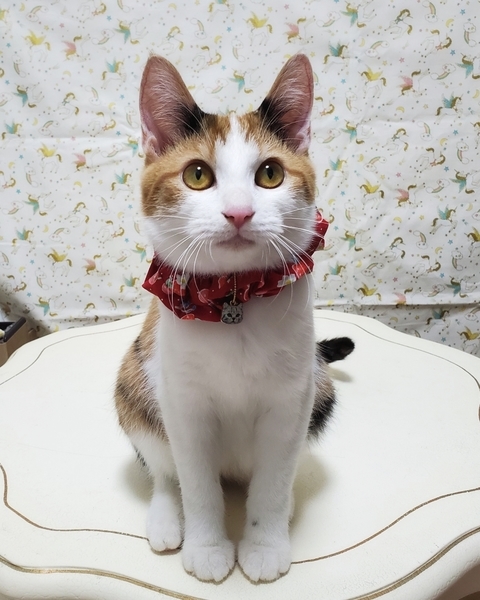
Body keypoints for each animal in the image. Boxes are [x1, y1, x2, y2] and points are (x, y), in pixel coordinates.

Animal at [115, 53, 354, 583]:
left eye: (270, 173)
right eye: (197, 175)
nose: (240, 213)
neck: (232, 299)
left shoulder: (292, 402)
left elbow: (273, 483)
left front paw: (264, 545)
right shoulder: (184, 403)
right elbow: (196, 484)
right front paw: (207, 547)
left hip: (320, 392)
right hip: (135, 385)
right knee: (163, 468)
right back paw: (166, 516)